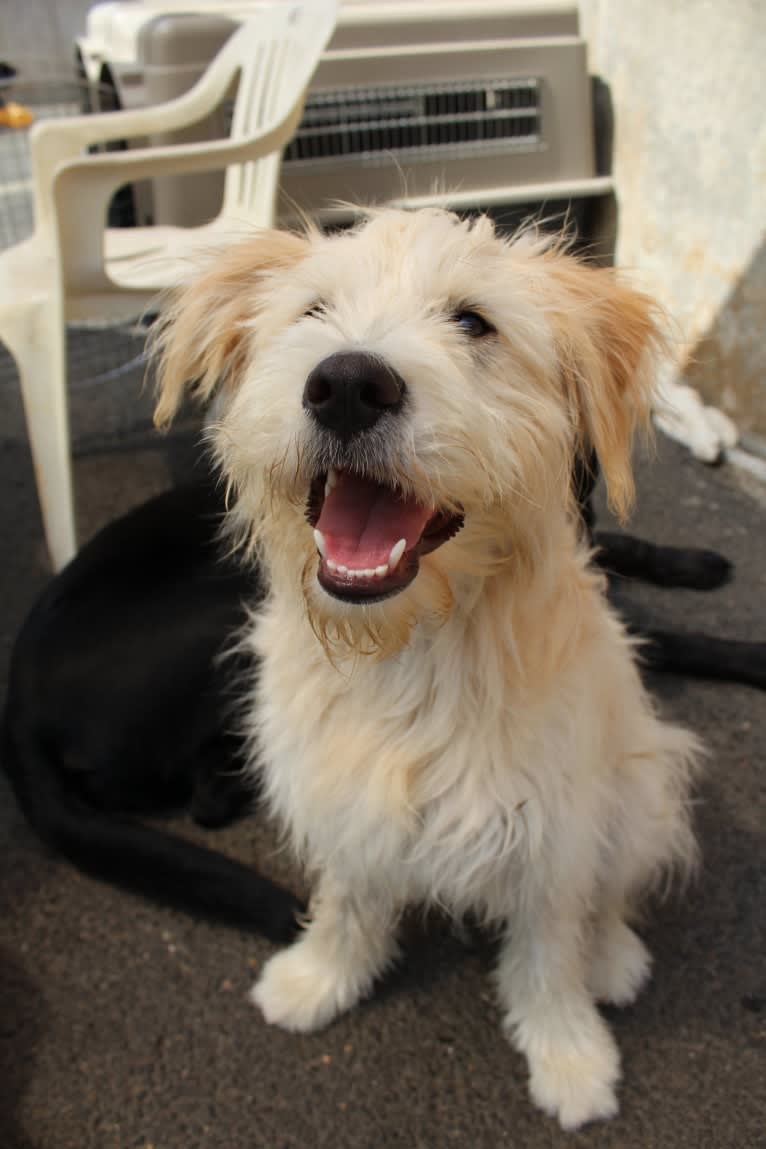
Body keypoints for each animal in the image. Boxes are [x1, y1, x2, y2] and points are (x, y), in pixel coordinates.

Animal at [152, 209, 702, 1130]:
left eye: (474, 321)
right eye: (313, 311)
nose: (346, 384)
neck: (409, 653)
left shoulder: (554, 832)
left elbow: (550, 953)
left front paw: (570, 1058)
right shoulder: (342, 798)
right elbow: (345, 904)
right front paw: (318, 979)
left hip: (643, 788)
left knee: (614, 892)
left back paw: (614, 958)